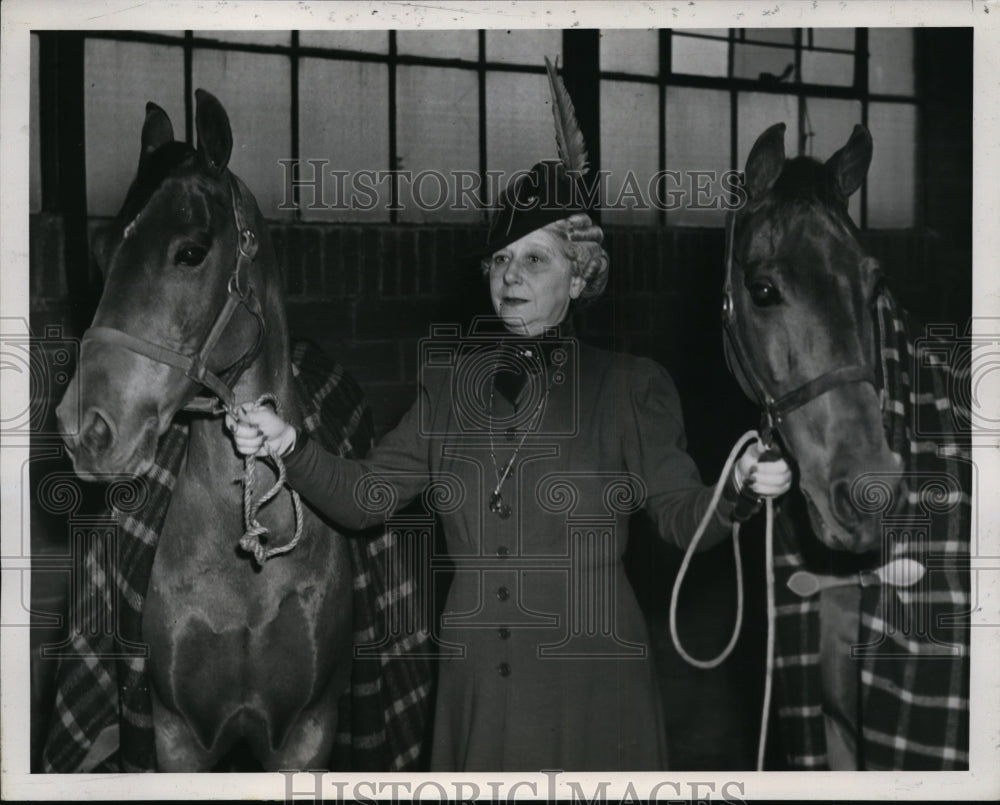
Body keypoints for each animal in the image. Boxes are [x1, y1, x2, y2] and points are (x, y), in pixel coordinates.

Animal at [53, 89, 356, 772]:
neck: (247, 574)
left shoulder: (309, 730)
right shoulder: (176, 735)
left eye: (190, 251)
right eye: (101, 253)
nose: (84, 429)